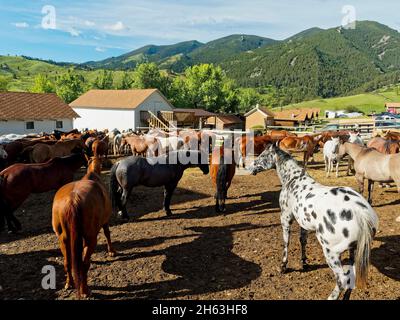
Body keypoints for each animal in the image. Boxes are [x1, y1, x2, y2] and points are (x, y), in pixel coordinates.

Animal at [52, 156, 116, 298]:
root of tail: (72, 199)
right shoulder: (105, 220)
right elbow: (107, 233)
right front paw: (111, 251)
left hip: (63, 239)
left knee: (68, 262)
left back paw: (69, 283)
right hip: (91, 238)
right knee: (84, 265)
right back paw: (85, 290)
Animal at [250, 145, 378, 300]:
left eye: (263, 155)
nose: (250, 167)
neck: (293, 179)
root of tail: (361, 212)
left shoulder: (286, 219)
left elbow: (286, 242)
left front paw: (283, 266)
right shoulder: (303, 224)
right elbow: (302, 240)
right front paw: (304, 262)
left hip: (331, 252)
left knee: (342, 279)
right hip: (354, 250)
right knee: (350, 277)